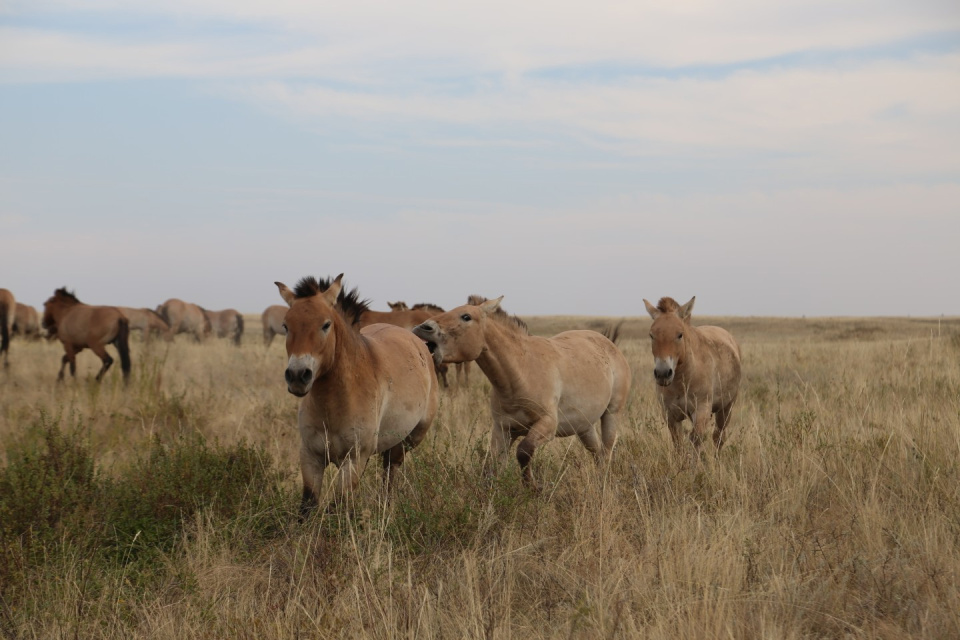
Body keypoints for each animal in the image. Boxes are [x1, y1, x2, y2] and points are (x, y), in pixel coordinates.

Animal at [270, 274, 436, 516]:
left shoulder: (354, 461)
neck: (334, 403)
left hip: (408, 440)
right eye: (286, 326)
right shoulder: (311, 457)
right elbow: (308, 506)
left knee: (390, 470)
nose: (298, 375)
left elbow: (337, 507)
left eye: (326, 325)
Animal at [410, 298, 632, 488]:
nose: (423, 328)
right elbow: (491, 469)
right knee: (597, 453)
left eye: (466, 316)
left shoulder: (547, 425)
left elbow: (524, 452)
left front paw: (534, 487)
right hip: (584, 426)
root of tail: (608, 344)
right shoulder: (502, 430)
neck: (522, 371)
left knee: (607, 450)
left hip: (611, 415)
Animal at [644, 296, 744, 456]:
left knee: (718, 436)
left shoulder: (702, 410)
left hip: (726, 408)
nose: (663, 373)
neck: (683, 380)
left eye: (679, 334)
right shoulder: (670, 414)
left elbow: (696, 441)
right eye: (652, 335)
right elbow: (678, 444)